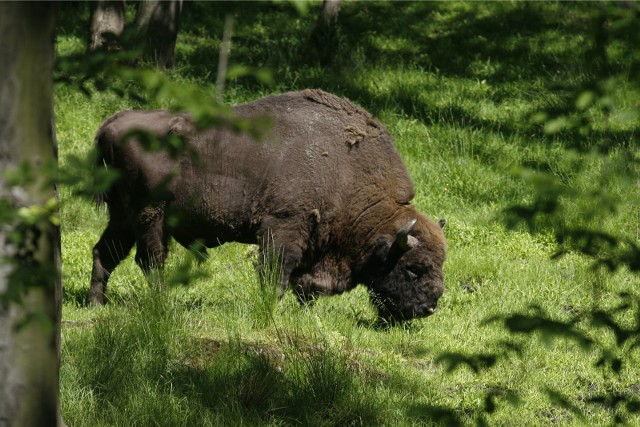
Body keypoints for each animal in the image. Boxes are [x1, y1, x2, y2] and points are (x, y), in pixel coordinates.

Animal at [90, 88, 448, 320]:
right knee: (151, 260)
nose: (428, 308)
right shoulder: (284, 226)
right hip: (150, 216)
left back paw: (96, 304)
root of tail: (113, 123)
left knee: (105, 253)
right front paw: (269, 311)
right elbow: (276, 274)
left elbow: (305, 286)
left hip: (122, 217)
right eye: (414, 267)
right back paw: (161, 304)